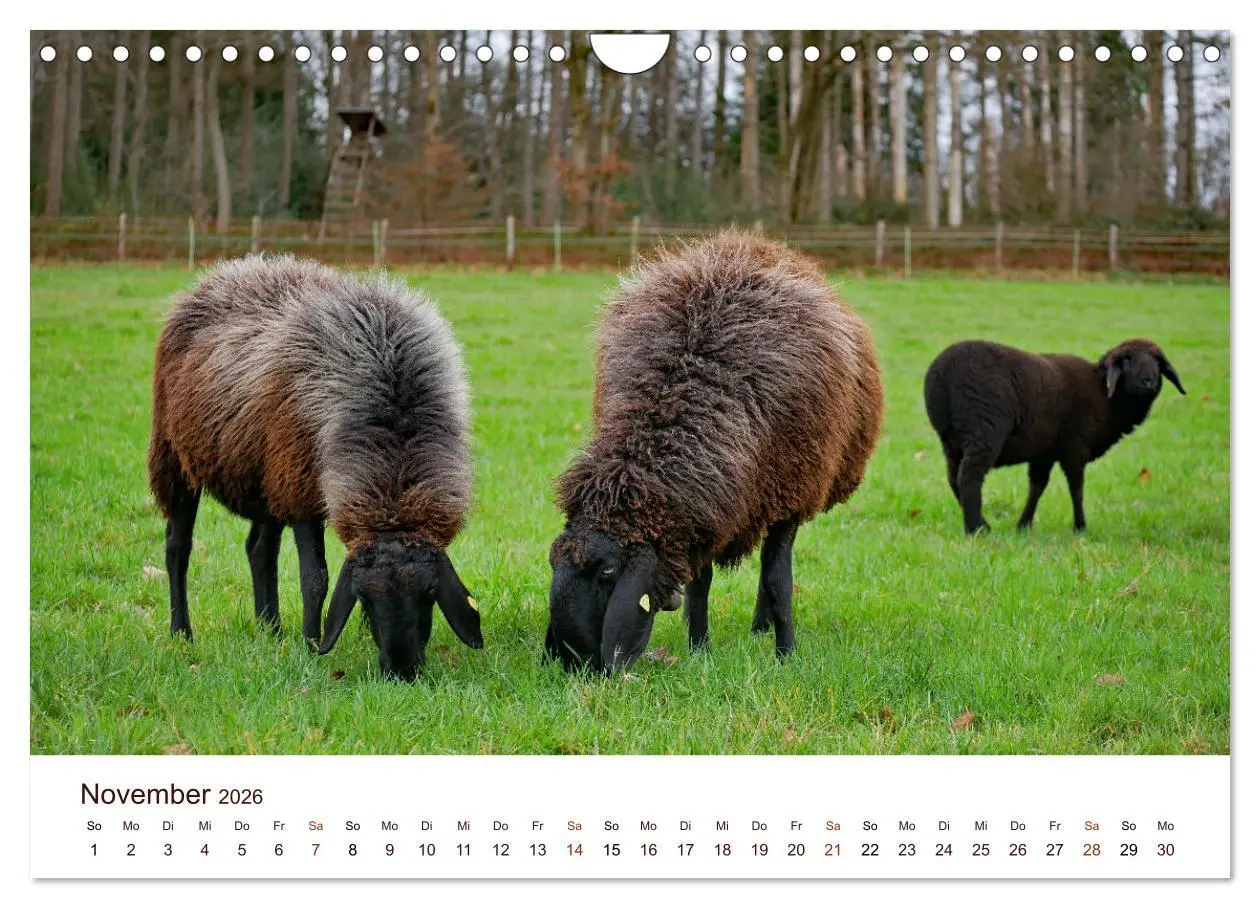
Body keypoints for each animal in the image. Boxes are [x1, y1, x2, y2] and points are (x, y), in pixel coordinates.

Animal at [147, 255, 482, 680]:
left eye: (429, 594)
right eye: (365, 598)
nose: (401, 672)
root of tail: (224, 272)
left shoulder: (291, 482)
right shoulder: (301, 494)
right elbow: (315, 580)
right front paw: (310, 646)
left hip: (268, 475)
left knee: (259, 548)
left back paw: (270, 629)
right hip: (175, 457)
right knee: (178, 546)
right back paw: (182, 632)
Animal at [545, 231, 884, 673]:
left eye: (607, 571)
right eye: (553, 563)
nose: (575, 661)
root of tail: (749, 242)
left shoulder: (789, 494)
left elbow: (778, 579)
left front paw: (786, 654)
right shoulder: (709, 509)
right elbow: (701, 581)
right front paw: (699, 647)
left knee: (775, 565)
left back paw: (763, 626)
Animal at [923, 338, 1186, 535]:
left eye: (1157, 361)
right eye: (1127, 360)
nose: (1149, 381)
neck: (1105, 396)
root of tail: (941, 376)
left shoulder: (1044, 452)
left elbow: (1037, 487)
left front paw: (1023, 525)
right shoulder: (1075, 447)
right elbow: (1076, 488)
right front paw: (1080, 527)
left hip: (952, 440)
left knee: (953, 478)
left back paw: (981, 524)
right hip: (984, 430)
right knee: (969, 478)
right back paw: (977, 529)